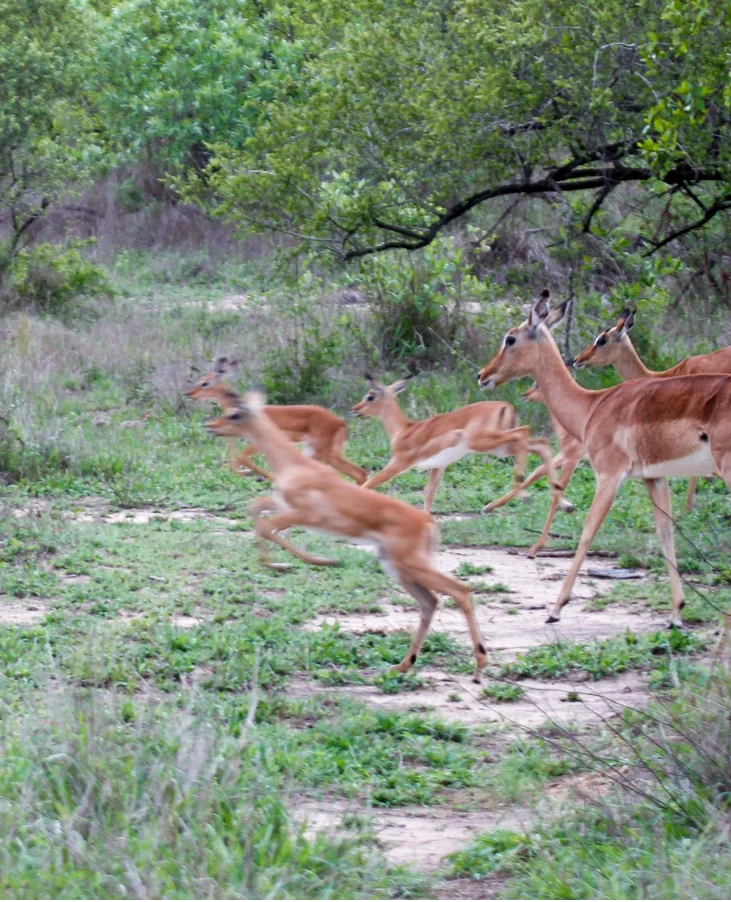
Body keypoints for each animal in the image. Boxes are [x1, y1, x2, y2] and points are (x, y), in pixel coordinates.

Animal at [185, 357, 366, 484]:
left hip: (326, 453)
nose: (188, 394)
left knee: (358, 473)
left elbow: (241, 458)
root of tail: (340, 422)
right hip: (316, 453)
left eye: (204, 383)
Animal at [205, 388, 488, 681]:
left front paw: (309, 561)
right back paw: (403, 664)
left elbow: (265, 526)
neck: (294, 466)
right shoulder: (283, 505)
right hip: (397, 566)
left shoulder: (306, 516)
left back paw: (479, 666)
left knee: (460, 591)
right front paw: (284, 563)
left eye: (235, 413)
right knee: (430, 602)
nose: (210, 426)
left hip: (410, 563)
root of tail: (428, 522)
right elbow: (255, 510)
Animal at [351, 374, 560, 514]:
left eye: (370, 396)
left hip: (484, 441)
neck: (403, 431)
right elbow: (428, 492)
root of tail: (506, 406)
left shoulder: (399, 462)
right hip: (500, 448)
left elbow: (369, 484)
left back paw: (524, 495)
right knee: (540, 443)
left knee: (525, 431)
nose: (355, 409)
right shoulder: (439, 466)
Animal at [484, 381, 586, 557]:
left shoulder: (572, 457)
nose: (525, 394)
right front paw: (490, 506)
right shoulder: (565, 455)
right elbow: (538, 470)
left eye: (538, 385)